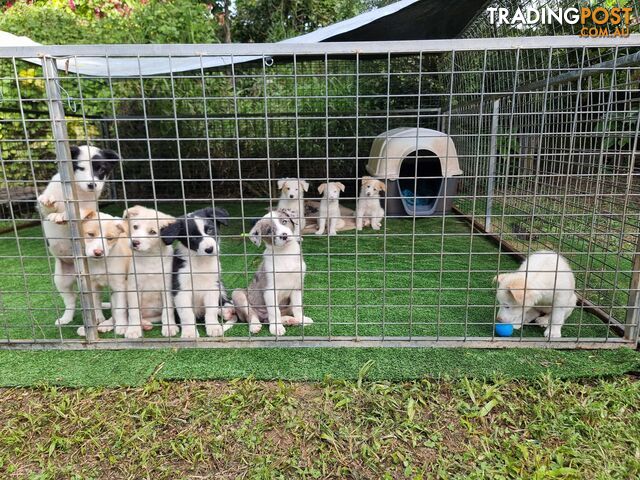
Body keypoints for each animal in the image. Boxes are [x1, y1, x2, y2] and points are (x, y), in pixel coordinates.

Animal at [37, 145, 119, 326]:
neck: (78, 192)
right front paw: (51, 206)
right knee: (71, 300)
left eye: (101, 169)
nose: (92, 184)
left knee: (93, 301)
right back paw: (66, 318)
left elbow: (78, 213)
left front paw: (63, 215)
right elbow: (46, 208)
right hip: (61, 279)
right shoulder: (44, 209)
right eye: (81, 168)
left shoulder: (89, 210)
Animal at [123, 204, 179, 340]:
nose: (134, 242)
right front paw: (133, 330)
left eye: (152, 232)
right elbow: (133, 311)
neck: (150, 257)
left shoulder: (167, 287)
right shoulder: (133, 287)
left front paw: (169, 327)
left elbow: (168, 310)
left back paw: (145, 324)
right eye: (135, 227)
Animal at [161, 208, 236, 340]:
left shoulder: (212, 286)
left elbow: (211, 310)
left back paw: (227, 309)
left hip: (219, 283)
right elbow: (186, 314)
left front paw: (214, 327)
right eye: (193, 238)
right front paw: (189, 333)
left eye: (210, 229)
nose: (209, 249)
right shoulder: (181, 289)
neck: (200, 262)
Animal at [231, 208, 314, 336]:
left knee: (277, 315)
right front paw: (276, 328)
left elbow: (297, 307)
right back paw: (255, 325)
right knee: (251, 314)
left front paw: (302, 319)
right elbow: (274, 311)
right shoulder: (270, 290)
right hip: (238, 294)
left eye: (284, 221)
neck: (285, 253)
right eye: (269, 231)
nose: (284, 236)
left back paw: (289, 320)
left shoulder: (297, 286)